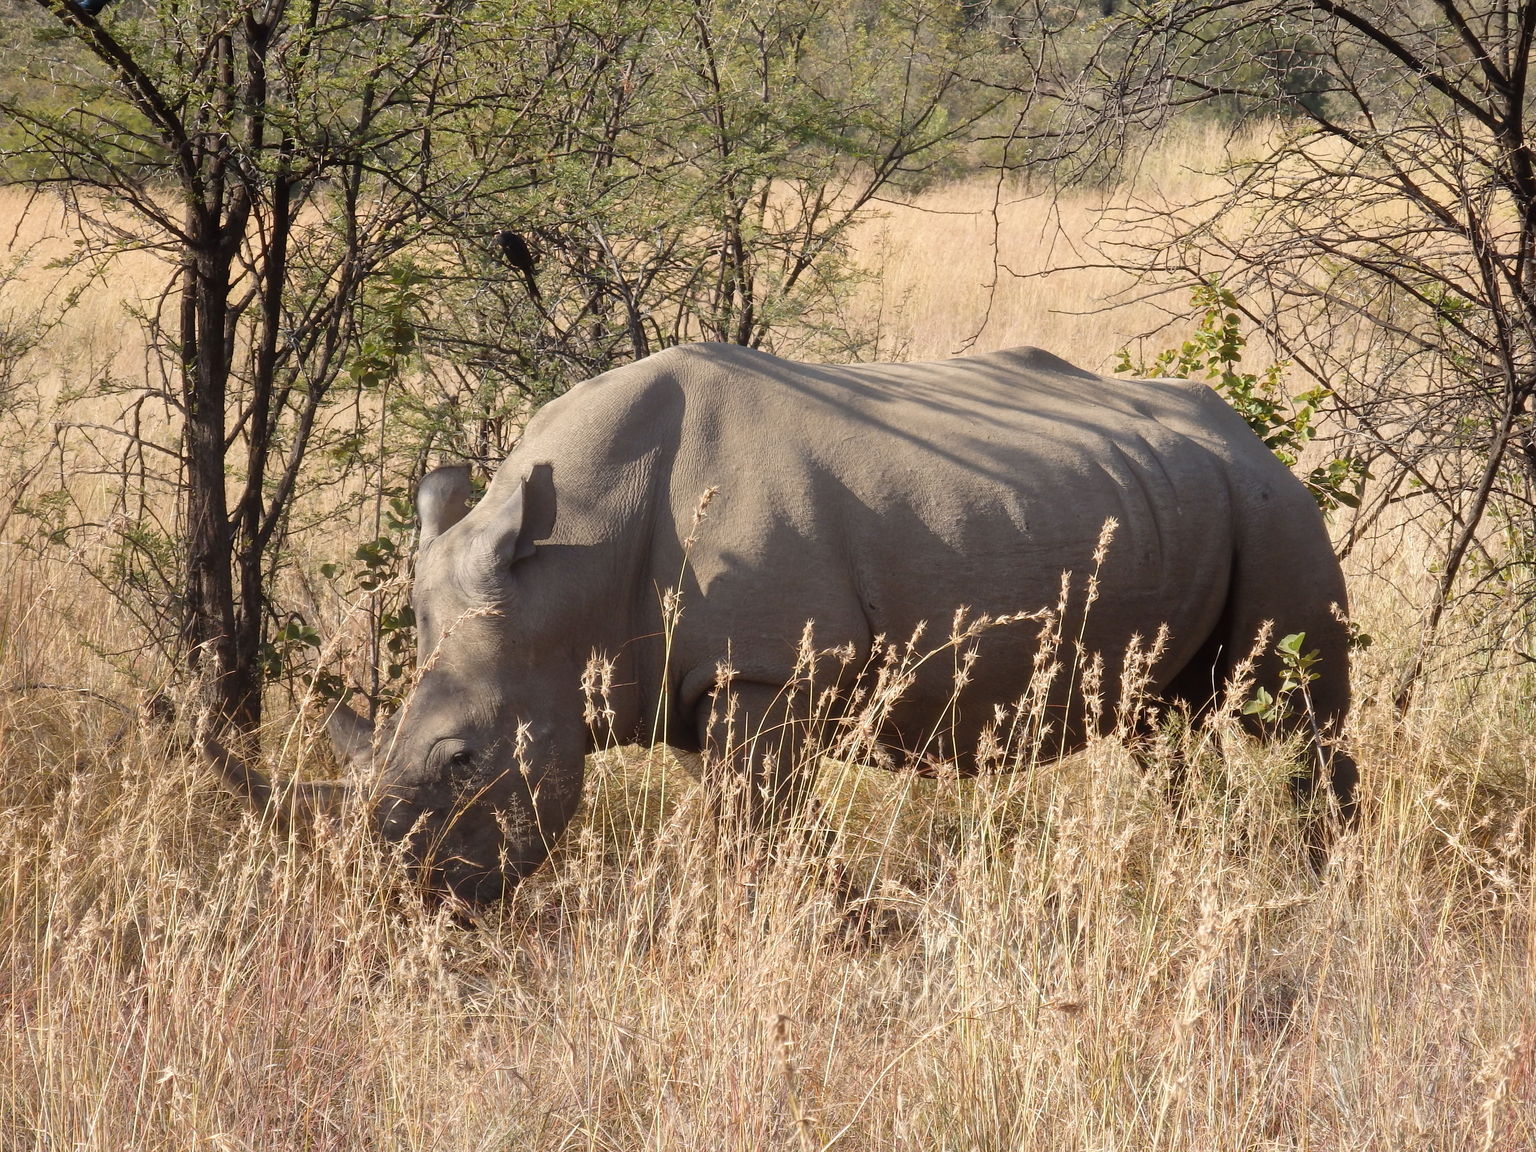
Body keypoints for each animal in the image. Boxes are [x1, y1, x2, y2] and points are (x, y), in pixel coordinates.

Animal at [204, 342, 1358, 903]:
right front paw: (843, 914)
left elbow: (760, 824)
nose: (409, 901)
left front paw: (822, 922)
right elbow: (753, 818)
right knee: (1164, 717)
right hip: (1178, 492)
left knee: (1301, 699)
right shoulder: (692, 677)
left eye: (460, 760)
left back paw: (1321, 874)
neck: (569, 569)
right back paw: (1199, 856)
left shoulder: (765, 672)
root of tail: (1245, 429)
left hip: (1271, 501)